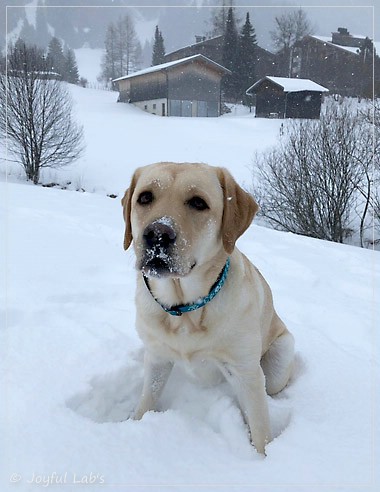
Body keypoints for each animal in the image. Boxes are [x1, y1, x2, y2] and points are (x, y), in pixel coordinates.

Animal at [121, 163, 294, 456]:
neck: (184, 310)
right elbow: (146, 399)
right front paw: (134, 424)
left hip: (277, 364)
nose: (157, 234)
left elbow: (261, 428)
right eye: (145, 197)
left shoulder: (245, 372)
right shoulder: (157, 357)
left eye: (198, 203)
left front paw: (265, 459)